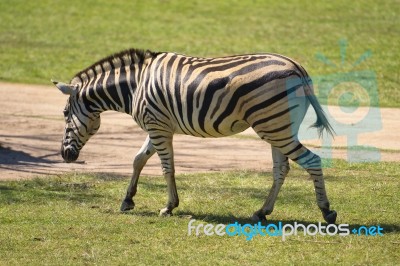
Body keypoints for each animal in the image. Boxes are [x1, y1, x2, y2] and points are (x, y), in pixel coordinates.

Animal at [50, 48, 338, 224]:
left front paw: (169, 206)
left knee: (312, 161)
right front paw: (128, 200)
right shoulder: (158, 126)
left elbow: (167, 168)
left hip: (273, 126)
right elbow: (138, 160)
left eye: (64, 113)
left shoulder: (157, 127)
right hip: (278, 127)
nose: (65, 156)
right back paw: (262, 211)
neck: (134, 87)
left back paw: (327, 211)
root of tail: (296, 67)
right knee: (281, 169)